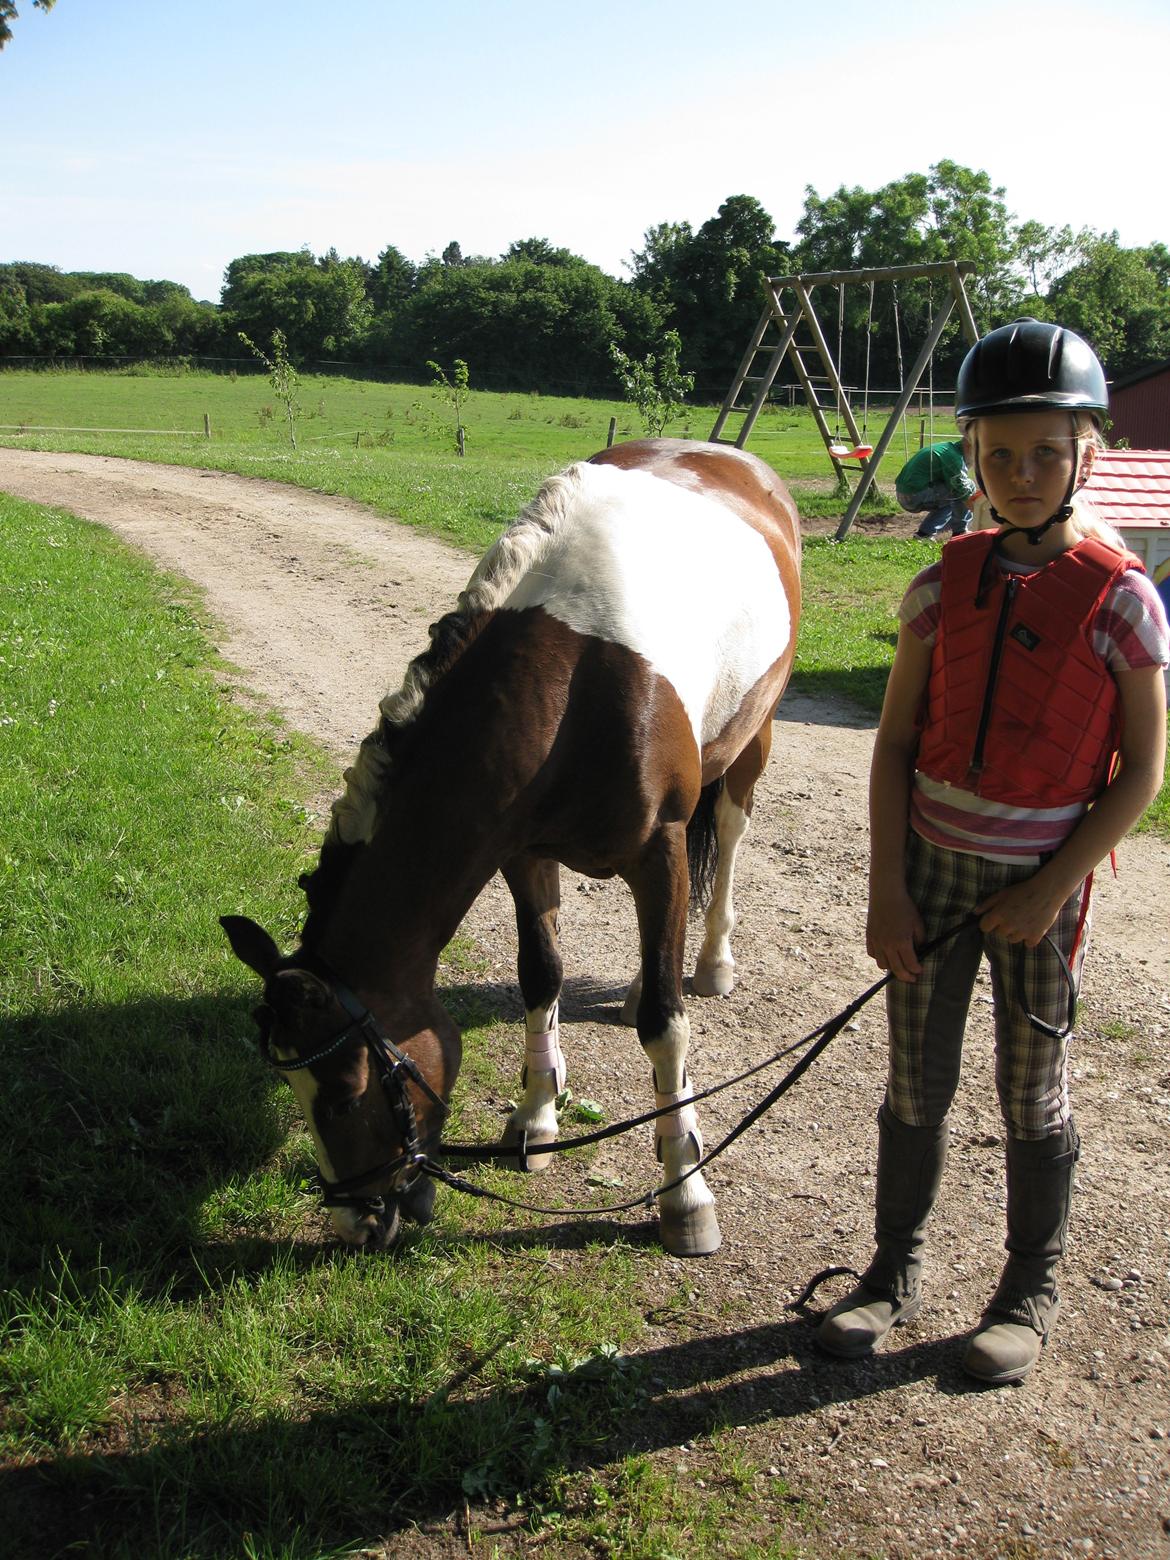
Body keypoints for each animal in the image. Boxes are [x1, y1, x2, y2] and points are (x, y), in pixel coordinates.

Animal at [221, 436, 804, 1254]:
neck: (570, 685)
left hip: (752, 742)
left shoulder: (657, 851)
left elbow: (666, 1027)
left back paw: (714, 961)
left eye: (342, 1095)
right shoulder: (521, 852)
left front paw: (685, 1194)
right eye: (289, 1086)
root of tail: (734, 458)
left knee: (727, 839)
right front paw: (536, 1115)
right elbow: (542, 976)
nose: (356, 1222)